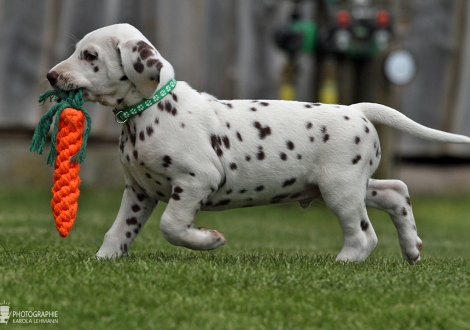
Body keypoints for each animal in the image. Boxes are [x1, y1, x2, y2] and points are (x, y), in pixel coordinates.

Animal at [46, 24, 470, 264]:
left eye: (89, 55)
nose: (51, 76)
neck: (150, 110)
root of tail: (358, 109)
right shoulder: (139, 191)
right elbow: (118, 230)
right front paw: (104, 260)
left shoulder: (195, 180)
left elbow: (172, 225)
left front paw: (208, 241)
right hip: (351, 185)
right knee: (397, 191)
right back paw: (411, 248)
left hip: (341, 191)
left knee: (364, 235)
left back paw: (344, 263)